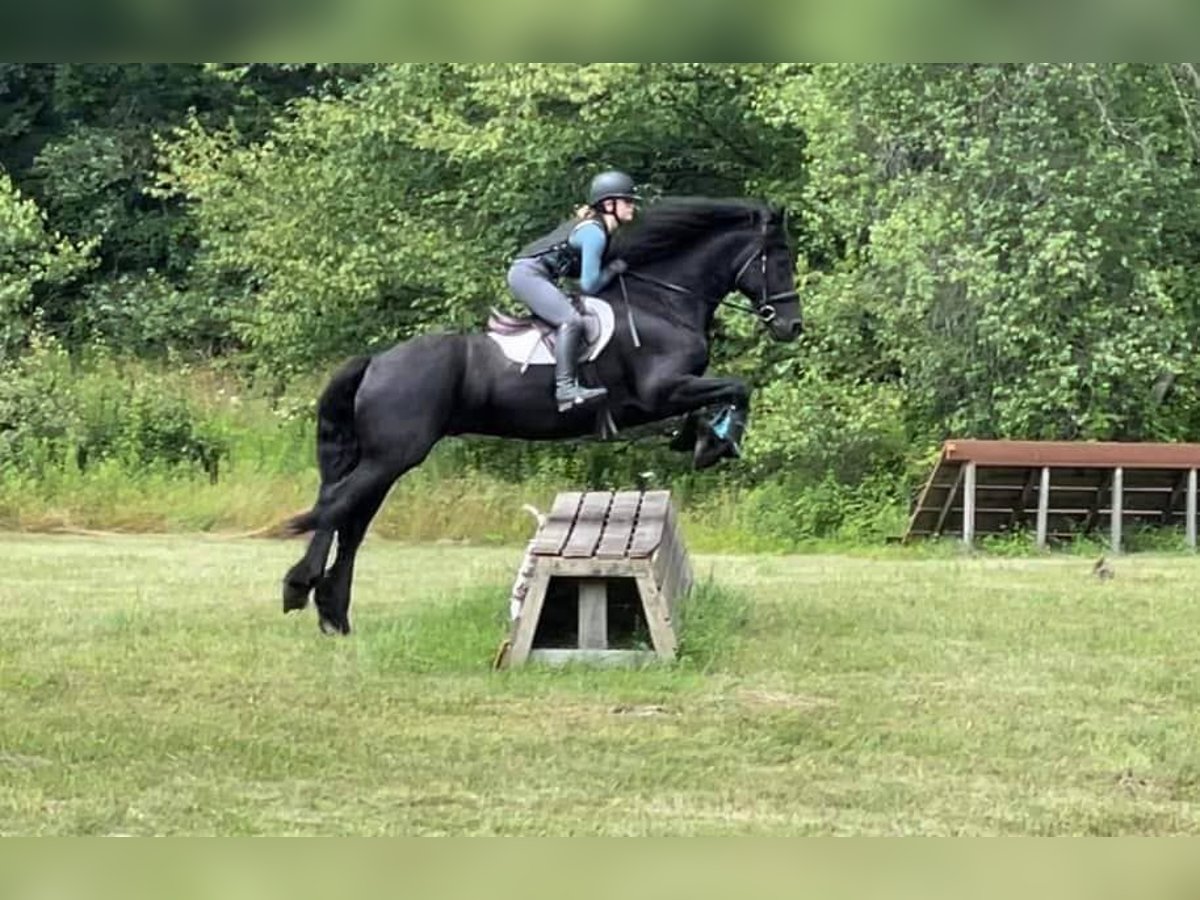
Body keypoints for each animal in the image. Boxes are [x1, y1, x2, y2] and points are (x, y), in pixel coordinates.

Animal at [283, 196, 806, 633]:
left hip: (383, 459)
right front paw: (717, 442)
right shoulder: (663, 390)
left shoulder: (672, 393)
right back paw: (301, 589)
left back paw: (332, 613)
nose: (792, 325)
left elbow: (719, 397)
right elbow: (738, 387)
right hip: (391, 456)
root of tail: (376, 360)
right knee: (337, 508)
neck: (662, 302)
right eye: (781, 260)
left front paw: (700, 438)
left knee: (349, 519)